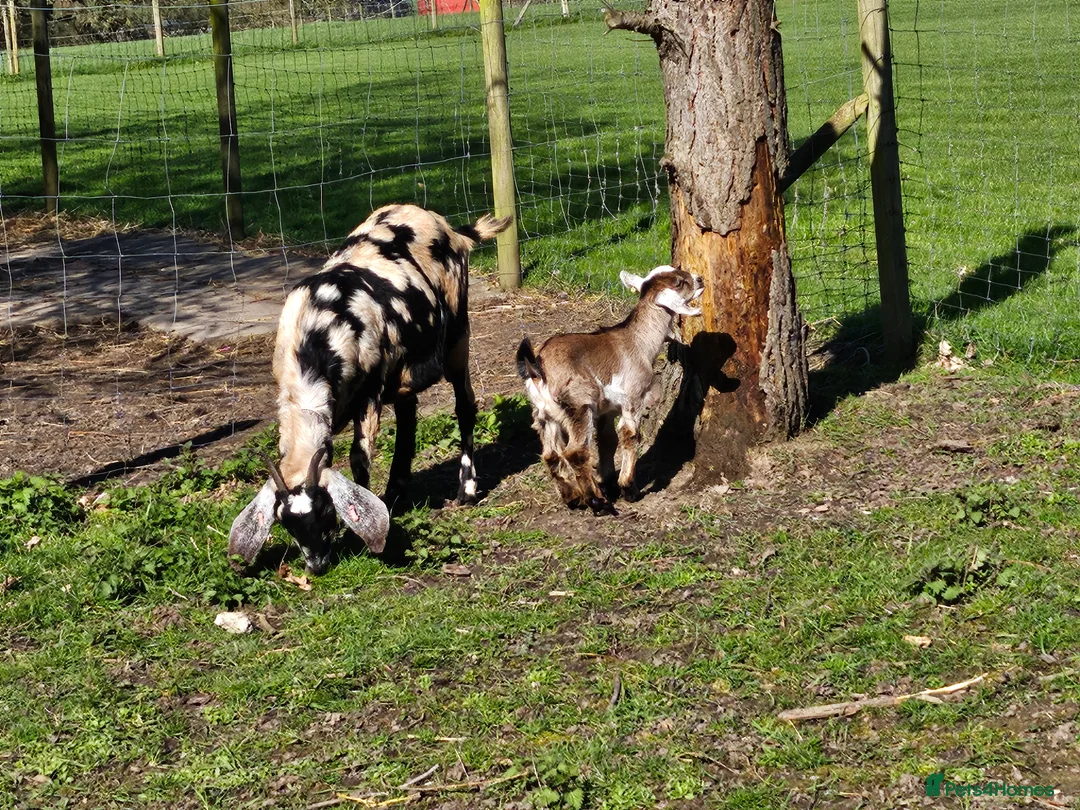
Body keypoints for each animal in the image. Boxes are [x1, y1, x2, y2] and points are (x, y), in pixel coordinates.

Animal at [229, 204, 512, 574]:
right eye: (285, 523)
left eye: (325, 509)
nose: (317, 565)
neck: (315, 337)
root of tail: (447, 226)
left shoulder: (370, 393)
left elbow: (359, 458)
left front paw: (356, 533)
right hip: (404, 370)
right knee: (408, 415)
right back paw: (395, 492)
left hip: (456, 337)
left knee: (465, 405)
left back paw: (466, 488)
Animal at [516, 265, 704, 513]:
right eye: (680, 282)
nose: (700, 279)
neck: (638, 343)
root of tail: (537, 366)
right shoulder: (633, 397)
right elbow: (630, 435)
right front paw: (628, 489)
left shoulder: (605, 410)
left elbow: (607, 440)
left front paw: (610, 483)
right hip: (579, 404)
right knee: (575, 451)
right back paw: (597, 501)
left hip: (543, 414)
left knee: (550, 455)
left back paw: (573, 498)